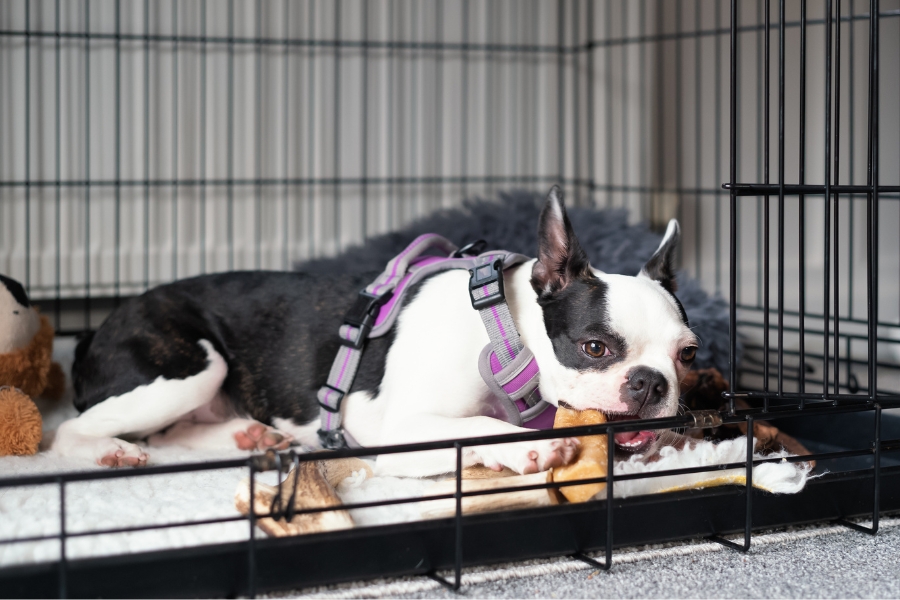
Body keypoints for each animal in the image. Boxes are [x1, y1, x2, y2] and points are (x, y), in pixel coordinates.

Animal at [49, 185, 700, 476]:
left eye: (688, 356)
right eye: (595, 347)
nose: (649, 384)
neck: (502, 332)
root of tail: (93, 332)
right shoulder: (395, 427)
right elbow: (476, 429)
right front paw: (530, 444)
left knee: (172, 434)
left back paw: (250, 436)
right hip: (191, 366)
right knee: (72, 431)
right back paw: (109, 449)